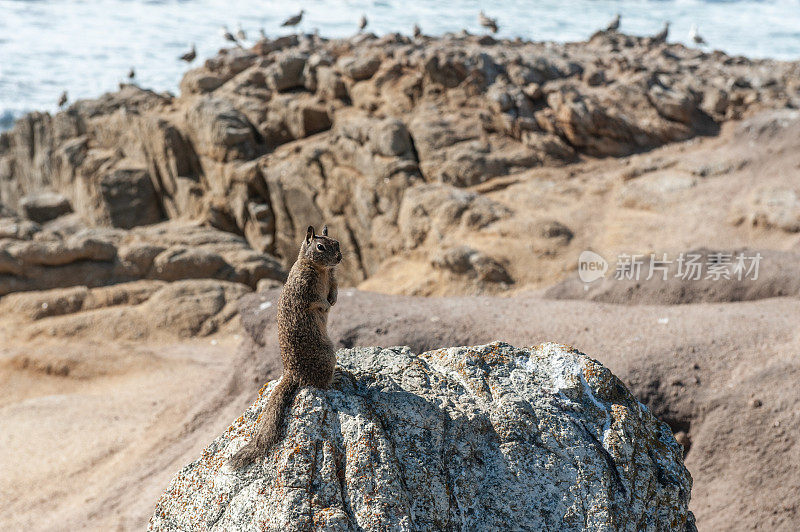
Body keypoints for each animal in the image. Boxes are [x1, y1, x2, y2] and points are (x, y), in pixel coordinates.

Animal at [231, 224, 344, 470]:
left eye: (337, 242)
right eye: (320, 247)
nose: (340, 258)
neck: (320, 269)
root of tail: (291, 373)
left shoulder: (333, 278)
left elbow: (334, 289)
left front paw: (333, 300)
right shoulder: (305, 288)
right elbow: (316, 300)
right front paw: (326, 305)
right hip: (327, 355)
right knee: (319, 384)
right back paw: (335, 379)